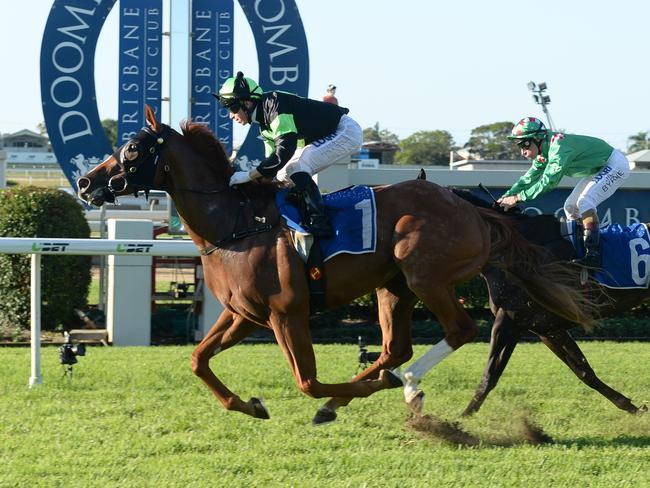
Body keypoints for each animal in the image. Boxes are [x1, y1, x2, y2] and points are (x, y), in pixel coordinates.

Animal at [77, 107, 596, 424]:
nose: (85, 182)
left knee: (457, 330)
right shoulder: (243, 314)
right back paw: (361, 393)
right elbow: (198, 359)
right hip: (393, 288)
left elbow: (306, 381)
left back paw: (401, 385)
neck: (235, 225)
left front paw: (324, 397)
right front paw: (249, 404)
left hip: (423, 275)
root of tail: (466, 202)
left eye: (132, 149)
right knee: (394, 348)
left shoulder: (287, 313)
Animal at [454, 189, 644, 418]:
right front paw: (632, 406)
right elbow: (583, 370)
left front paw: (458, 420)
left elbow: (490, 374)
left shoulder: (509, 320)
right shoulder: (547, 328)